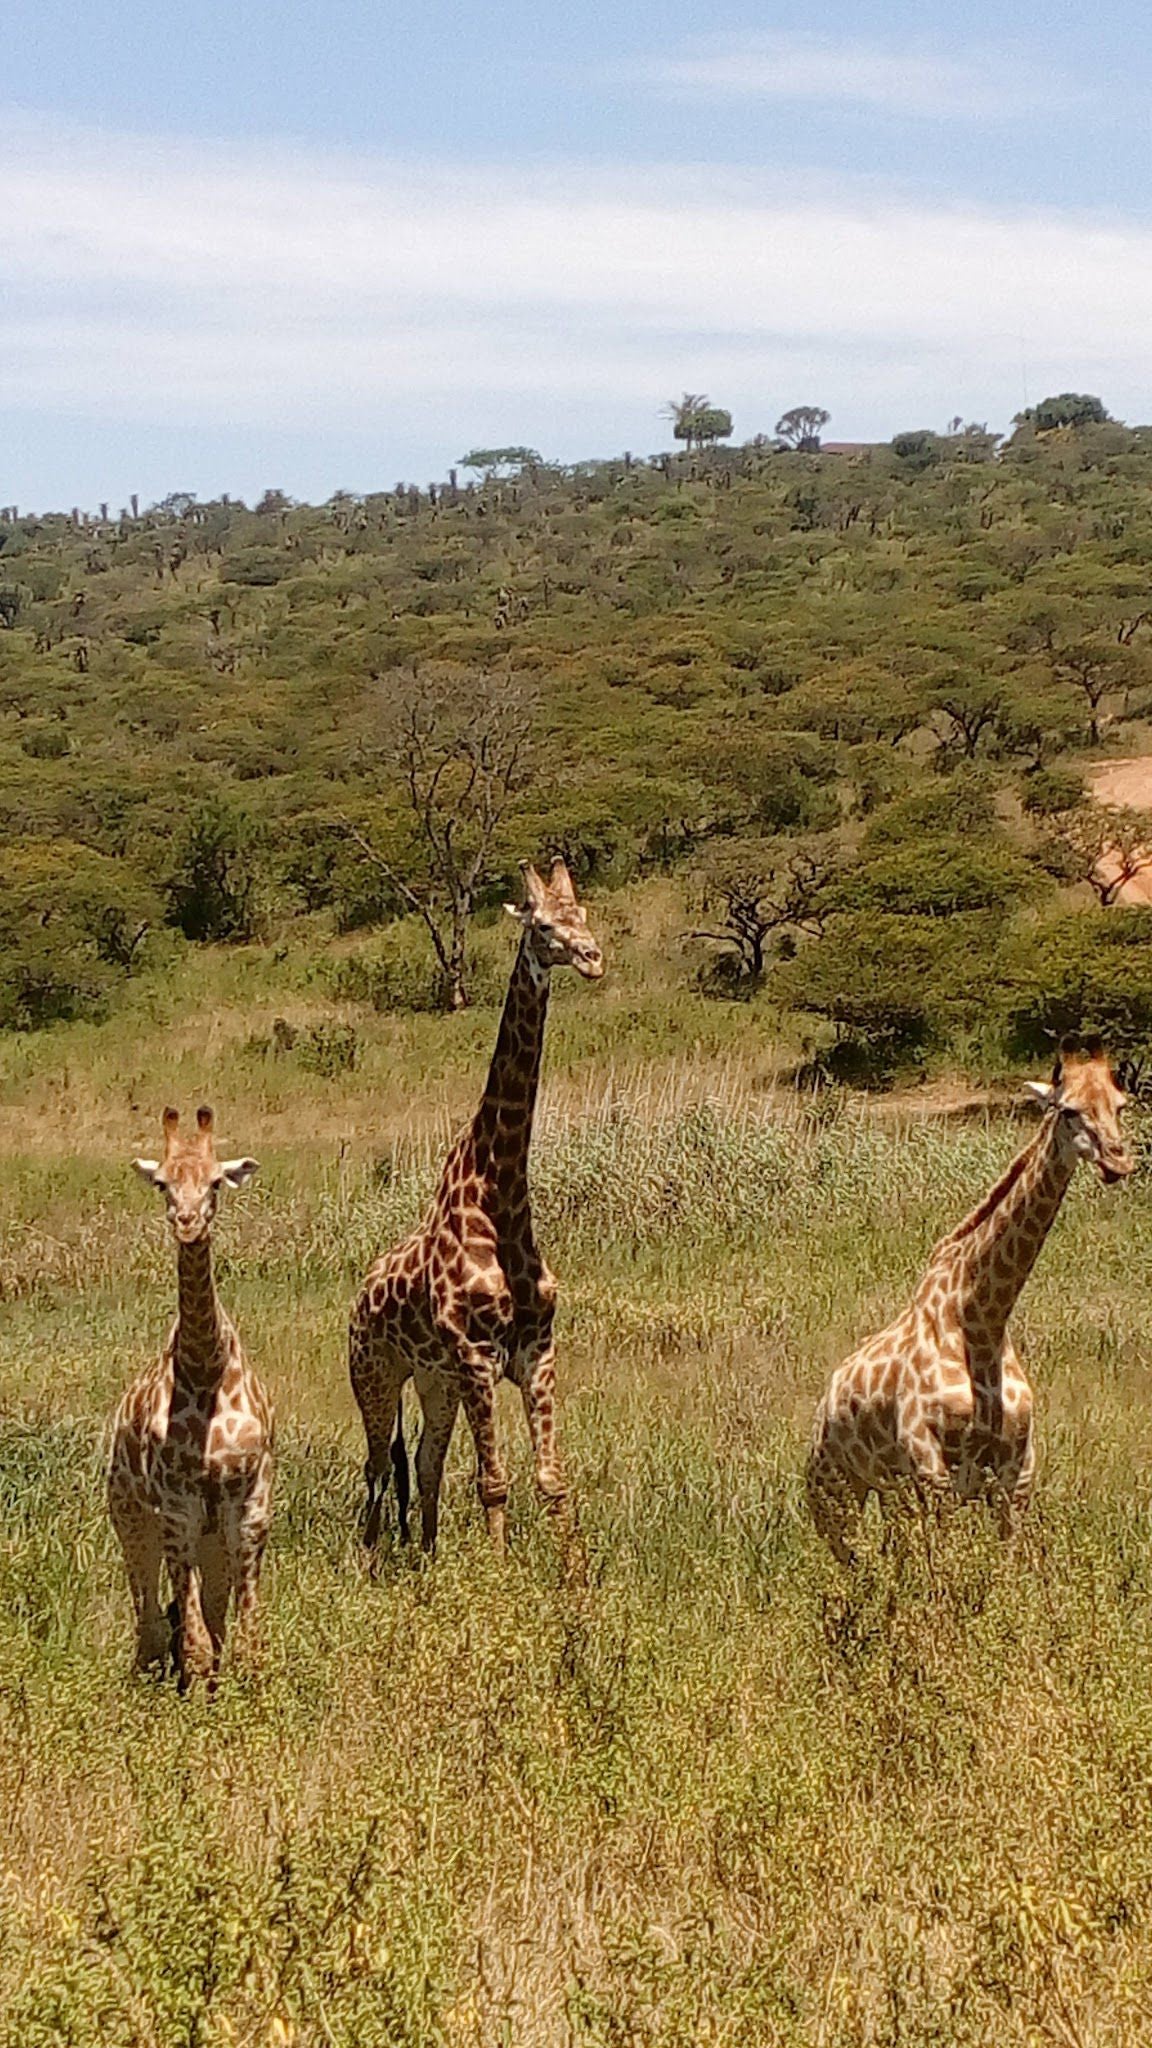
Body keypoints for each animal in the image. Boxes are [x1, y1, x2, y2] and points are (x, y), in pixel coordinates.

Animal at [109, 1114, 276, 1687]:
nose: (186, 1223)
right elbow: (197, 1639)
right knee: (148, 1611)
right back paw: (152, 1673)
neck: (206, 1369)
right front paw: (197, 1687)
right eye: (162, 1184)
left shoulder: (249, 1503)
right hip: (130, 1514)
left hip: (208, 1535)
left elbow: (240, 1634)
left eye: (216, 1183)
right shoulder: (177, 1507)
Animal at [348, 851, 602, 1548]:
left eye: (583, 913)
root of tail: (355, 1298)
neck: (502, 1194)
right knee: (376, 1470)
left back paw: (428, 1557)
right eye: (543, 926)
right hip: (377, 1375)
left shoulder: (536, 1351)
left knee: (425, 1463)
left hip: (436, 1382)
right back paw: (373, 1560)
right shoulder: (478, 1356)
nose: (593, 957)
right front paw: (497, 1574)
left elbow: (551, 1482)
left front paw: (572, 1577)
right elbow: (494, 1484)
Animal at [807, 1040, 1131, 1564]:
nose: (1118, 1163)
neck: (982, 1320)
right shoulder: (931, 1464)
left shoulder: (1017, 1469)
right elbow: (948, 1570)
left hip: (890, 1493)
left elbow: (1005, 1563)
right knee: (855, 1562)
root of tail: (824, 1400)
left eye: (1120, 1106)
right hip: (832, 1489)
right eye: (1068, 1111)